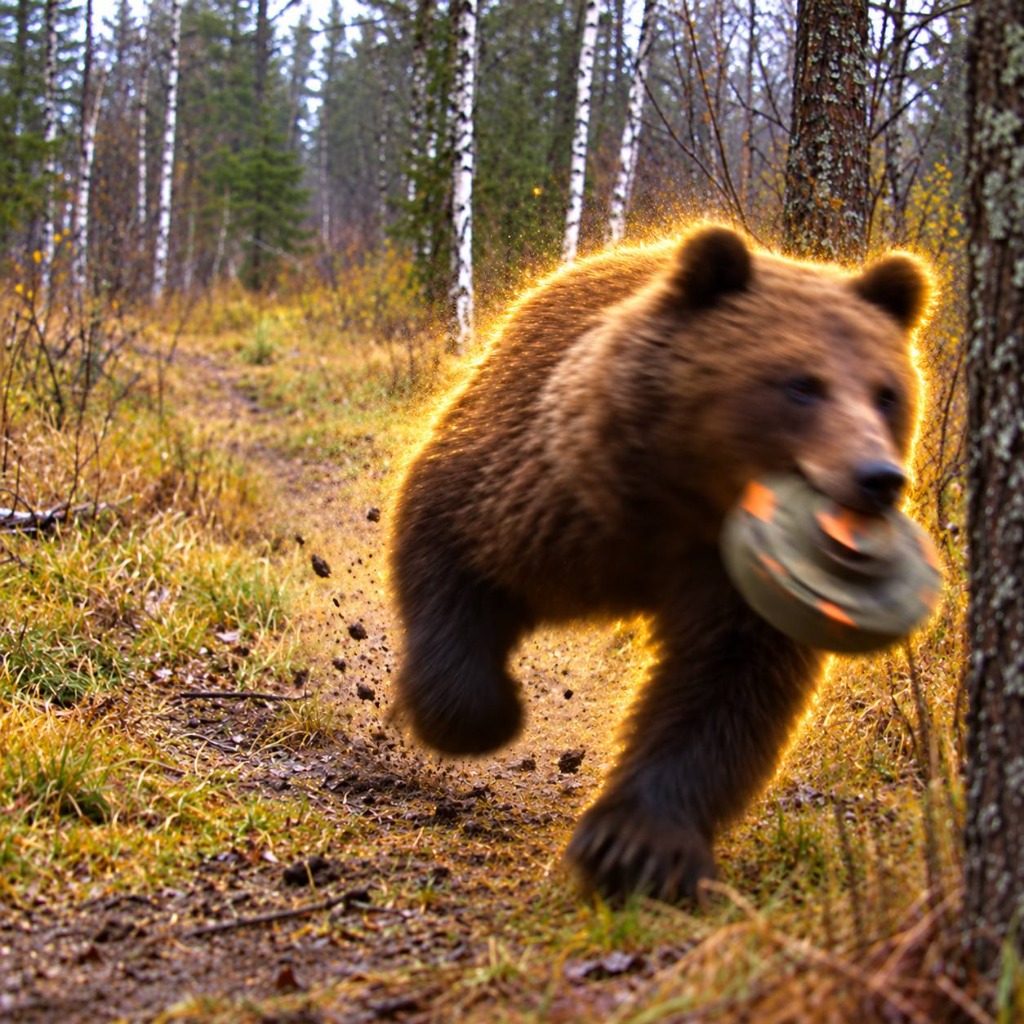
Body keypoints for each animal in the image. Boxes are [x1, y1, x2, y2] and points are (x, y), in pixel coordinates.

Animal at [388, 224, 931, 903]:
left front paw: (635, 848)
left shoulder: (737, 586)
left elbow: (725, 690)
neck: (683, 501)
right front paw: (481, 718)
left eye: (887, 393)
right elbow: (448, 540)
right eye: (801, 384)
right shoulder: (541, 493)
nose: (876, 478)